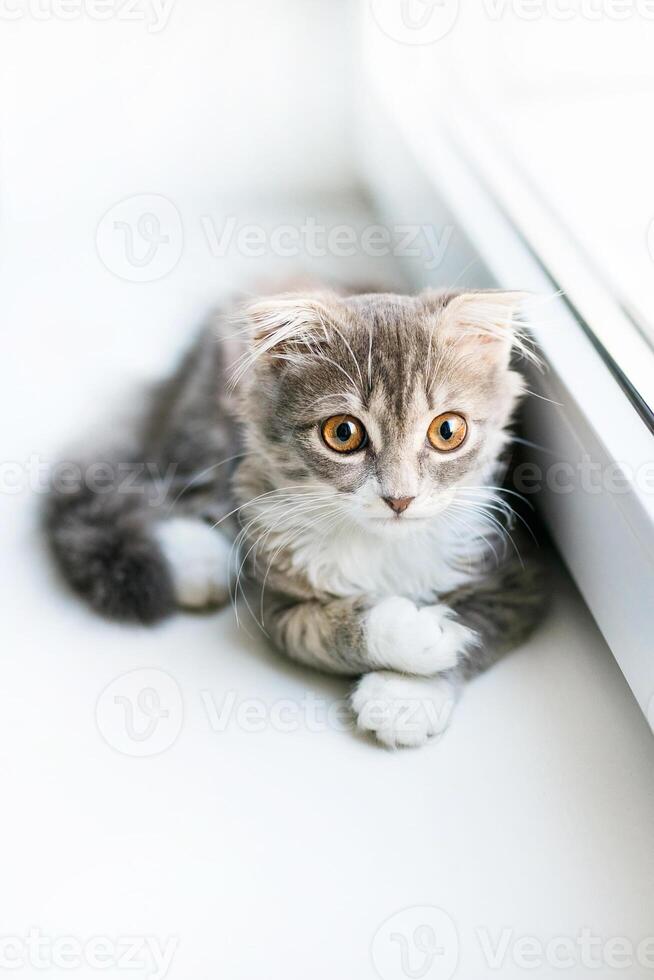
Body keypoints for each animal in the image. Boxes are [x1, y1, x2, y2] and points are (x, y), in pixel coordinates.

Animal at [46, 288, 544, 748]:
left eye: (448, 430)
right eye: (343, 433)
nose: (399, 499)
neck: (380, 545)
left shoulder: (518, 568)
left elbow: (479, 628)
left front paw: (407, 696)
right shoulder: (278, 602)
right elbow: (324, 632)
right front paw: (411, 631)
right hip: (210, 424)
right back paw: (197, 558)